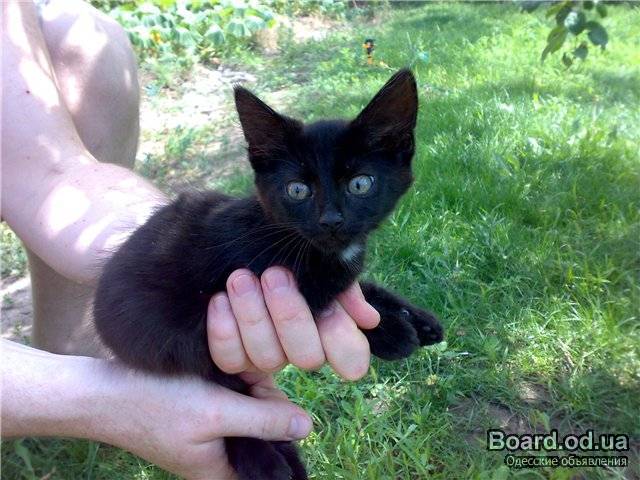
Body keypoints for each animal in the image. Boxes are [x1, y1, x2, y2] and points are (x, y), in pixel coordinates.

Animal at [94, 69, 444, 480]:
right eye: (297, 190)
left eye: (360, 183)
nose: (331, 220)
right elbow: (330, 300)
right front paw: (390, 332)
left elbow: (356, 288)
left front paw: (413, 317)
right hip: (171, 338)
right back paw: (266, 460)